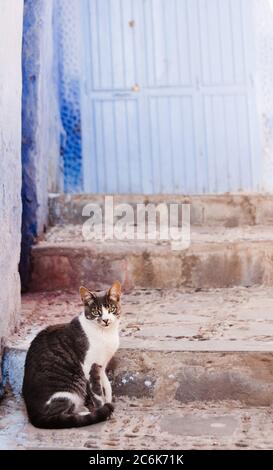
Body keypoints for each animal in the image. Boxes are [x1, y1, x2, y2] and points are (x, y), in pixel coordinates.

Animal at [22, 280, 120, 428]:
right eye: (96, 312)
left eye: (111, 309)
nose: (106, 320)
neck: (105, 334)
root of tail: (33, 414)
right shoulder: (90, 366)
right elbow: (97, 393)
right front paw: (104, 409)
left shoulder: (101, 364)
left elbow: (107, 386)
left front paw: (109, 402)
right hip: (67, 391)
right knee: (59, 415)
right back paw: (86, 413)